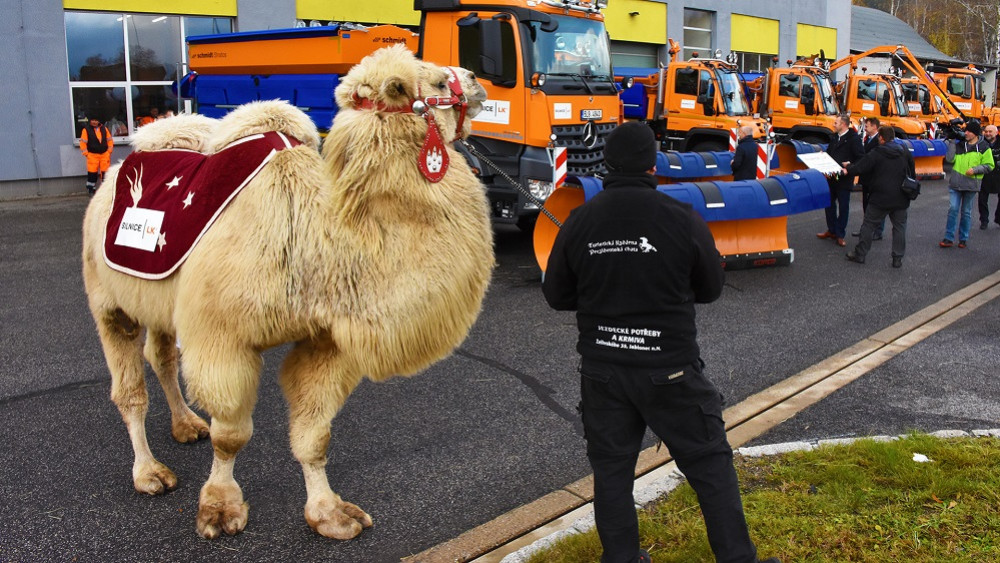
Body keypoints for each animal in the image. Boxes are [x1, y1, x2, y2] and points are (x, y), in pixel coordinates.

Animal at [80, 46, 494, 540]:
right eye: (435, 82)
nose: (477, 81)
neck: (322, 237)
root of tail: (116, 172)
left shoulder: (325, 339)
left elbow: (315, 435)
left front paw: (331, 513)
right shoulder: (222, 336)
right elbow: (231, 435)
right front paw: (220, 509)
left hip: (159, 299)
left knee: (160, 356)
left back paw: (186, 425)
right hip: (108, 299)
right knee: (129, 390)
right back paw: (150, 473)